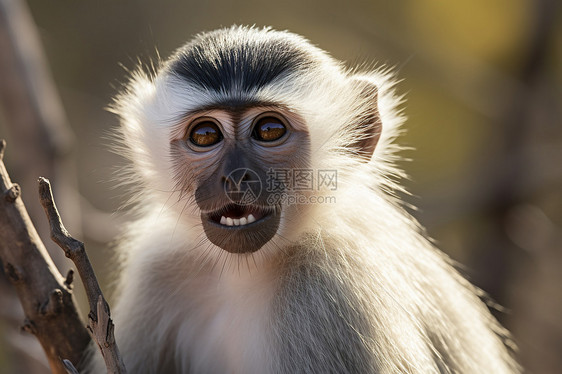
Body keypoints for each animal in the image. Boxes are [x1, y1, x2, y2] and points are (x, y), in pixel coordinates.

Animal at [85, 24, 520, 372]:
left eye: (269, 129)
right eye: (205, 135)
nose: (234, 176)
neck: (245, 272)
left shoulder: (337, 289)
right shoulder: (159, 268)